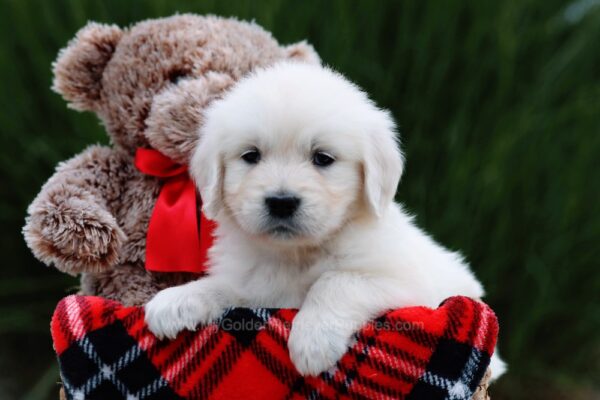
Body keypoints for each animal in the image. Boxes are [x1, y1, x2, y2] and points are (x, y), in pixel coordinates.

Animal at [145, 61, 506, 378]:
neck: (296, 254)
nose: (281, 202)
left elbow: (335, 280)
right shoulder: (254, 289)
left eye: (323, 158)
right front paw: (176, 300)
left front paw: (311, 341)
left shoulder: (407, 287)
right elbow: (224, 286)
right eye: (251, 156)